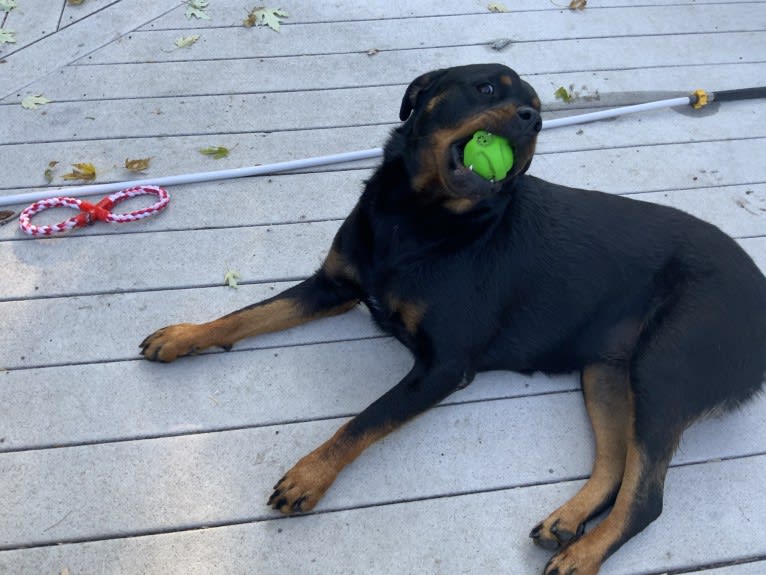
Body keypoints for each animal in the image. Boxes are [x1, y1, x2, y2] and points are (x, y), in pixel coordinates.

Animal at [142, 65, 766, 572]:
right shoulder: (334, 286)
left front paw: (309, 475)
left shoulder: (442, 367)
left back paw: (583, 556)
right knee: (618, 463)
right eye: (487, 88)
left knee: (647, 497)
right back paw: (567, 523)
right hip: (606, 373)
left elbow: (361, 422)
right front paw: (183, 336)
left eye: (536, 105)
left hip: (663, 368)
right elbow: (248, 314)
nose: (534, 120)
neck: (417, 220)